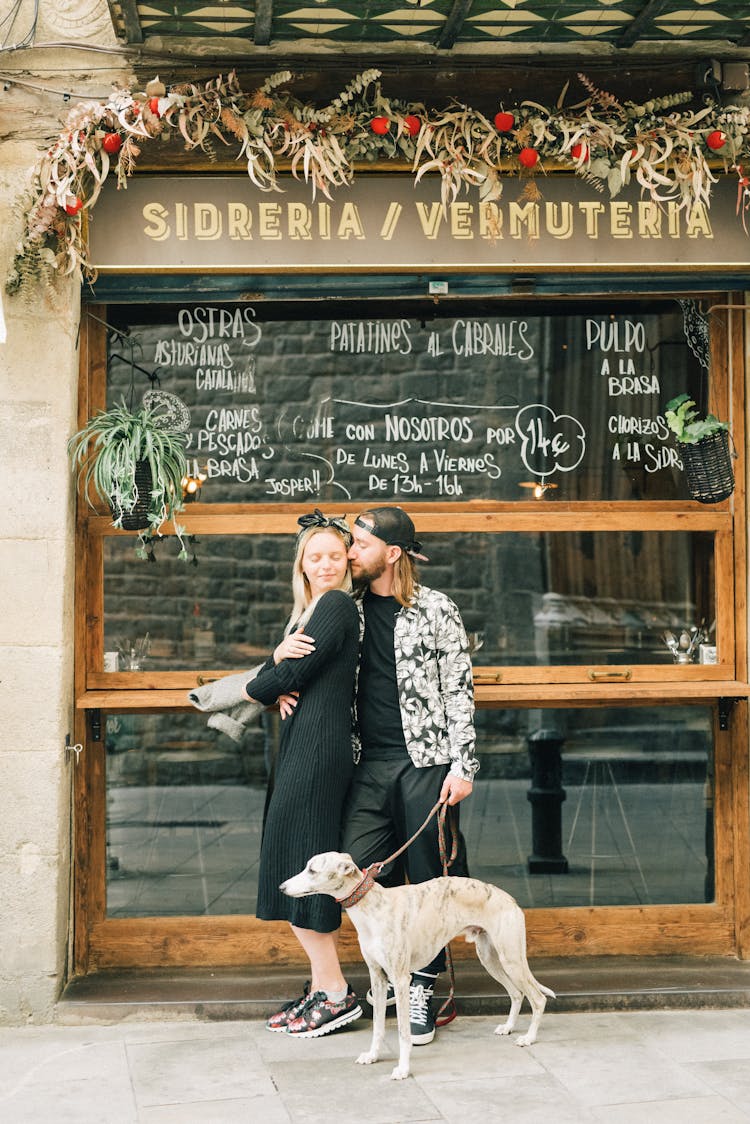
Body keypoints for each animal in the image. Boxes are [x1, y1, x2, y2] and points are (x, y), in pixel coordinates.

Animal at [278, 849, 555, 1079]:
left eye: (312, 870)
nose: (281, 887)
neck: (373, 907)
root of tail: (511, 900)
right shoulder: (378, 977)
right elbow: (378, 1026)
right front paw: (373, 1055)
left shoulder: (401, 979)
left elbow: (403, 1033)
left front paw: (403, 1068)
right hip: (491, 958)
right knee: (517, 993)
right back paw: (508, 1027)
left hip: (511, 958)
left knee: (537, 997)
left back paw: (528, 1038)